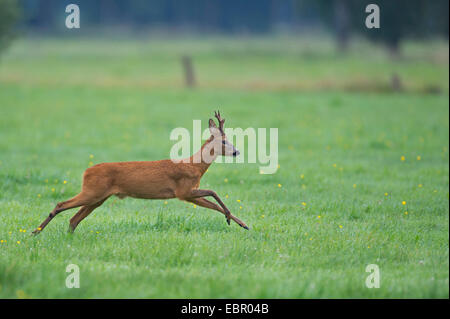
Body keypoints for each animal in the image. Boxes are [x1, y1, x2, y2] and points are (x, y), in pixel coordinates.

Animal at [32, 112, 250, 235]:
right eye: (224, 141)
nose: (237, 152)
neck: (195, 166)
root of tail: (87, 171)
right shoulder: (184, 191)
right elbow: (214, 193)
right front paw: (232, 219)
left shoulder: (188, 194)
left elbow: (214, 204)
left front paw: (243, 224)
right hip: (92, 191)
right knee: (61, 205)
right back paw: (36, 232)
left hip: (98, 197)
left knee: (74, 218)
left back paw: (65, 236)